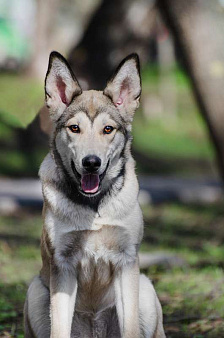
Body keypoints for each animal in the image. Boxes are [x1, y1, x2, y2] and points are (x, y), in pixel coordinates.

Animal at [24, 50, 164, 338]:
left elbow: (131, 329)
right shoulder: (63, 265)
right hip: (35, 291)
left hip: (145, 287)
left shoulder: (126, 262)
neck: (95, 207)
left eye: (108, 129)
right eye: (74, 128)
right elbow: (59, 329)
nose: (91, 162)